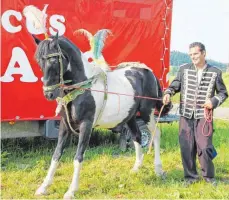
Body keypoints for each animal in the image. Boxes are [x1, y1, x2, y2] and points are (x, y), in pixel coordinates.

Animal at [33, 34, 170, 198]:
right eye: (38, 60)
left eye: (54, 59)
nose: (49, 94)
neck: (82, 87)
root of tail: (148, 72)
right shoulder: (65, 126)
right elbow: (56, 155)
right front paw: (43, 187)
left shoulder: (86, 125)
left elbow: (78, 157)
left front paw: (71, 191)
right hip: (130, 117)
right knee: (137, 136)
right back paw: (136, 168)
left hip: (147, 112)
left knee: (156, 134)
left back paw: (158, 169)